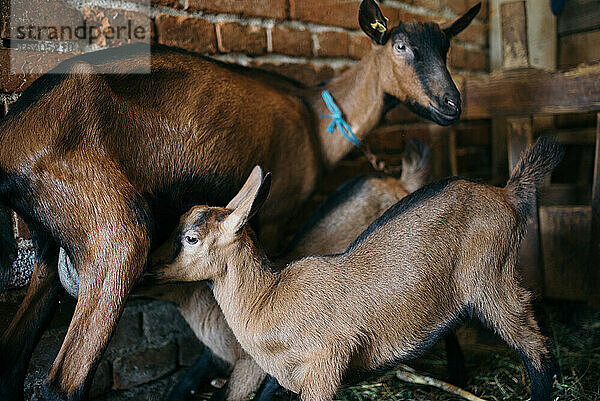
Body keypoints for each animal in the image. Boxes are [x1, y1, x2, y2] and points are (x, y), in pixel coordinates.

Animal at [0, 1, 478, 398]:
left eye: (447, 48)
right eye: (400, 45)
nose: (452, 106)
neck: (312, 119)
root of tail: (13, 137)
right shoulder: (278, 212)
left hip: (49, 242)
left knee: (14, 357)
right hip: (113, 231)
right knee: (64, 382)